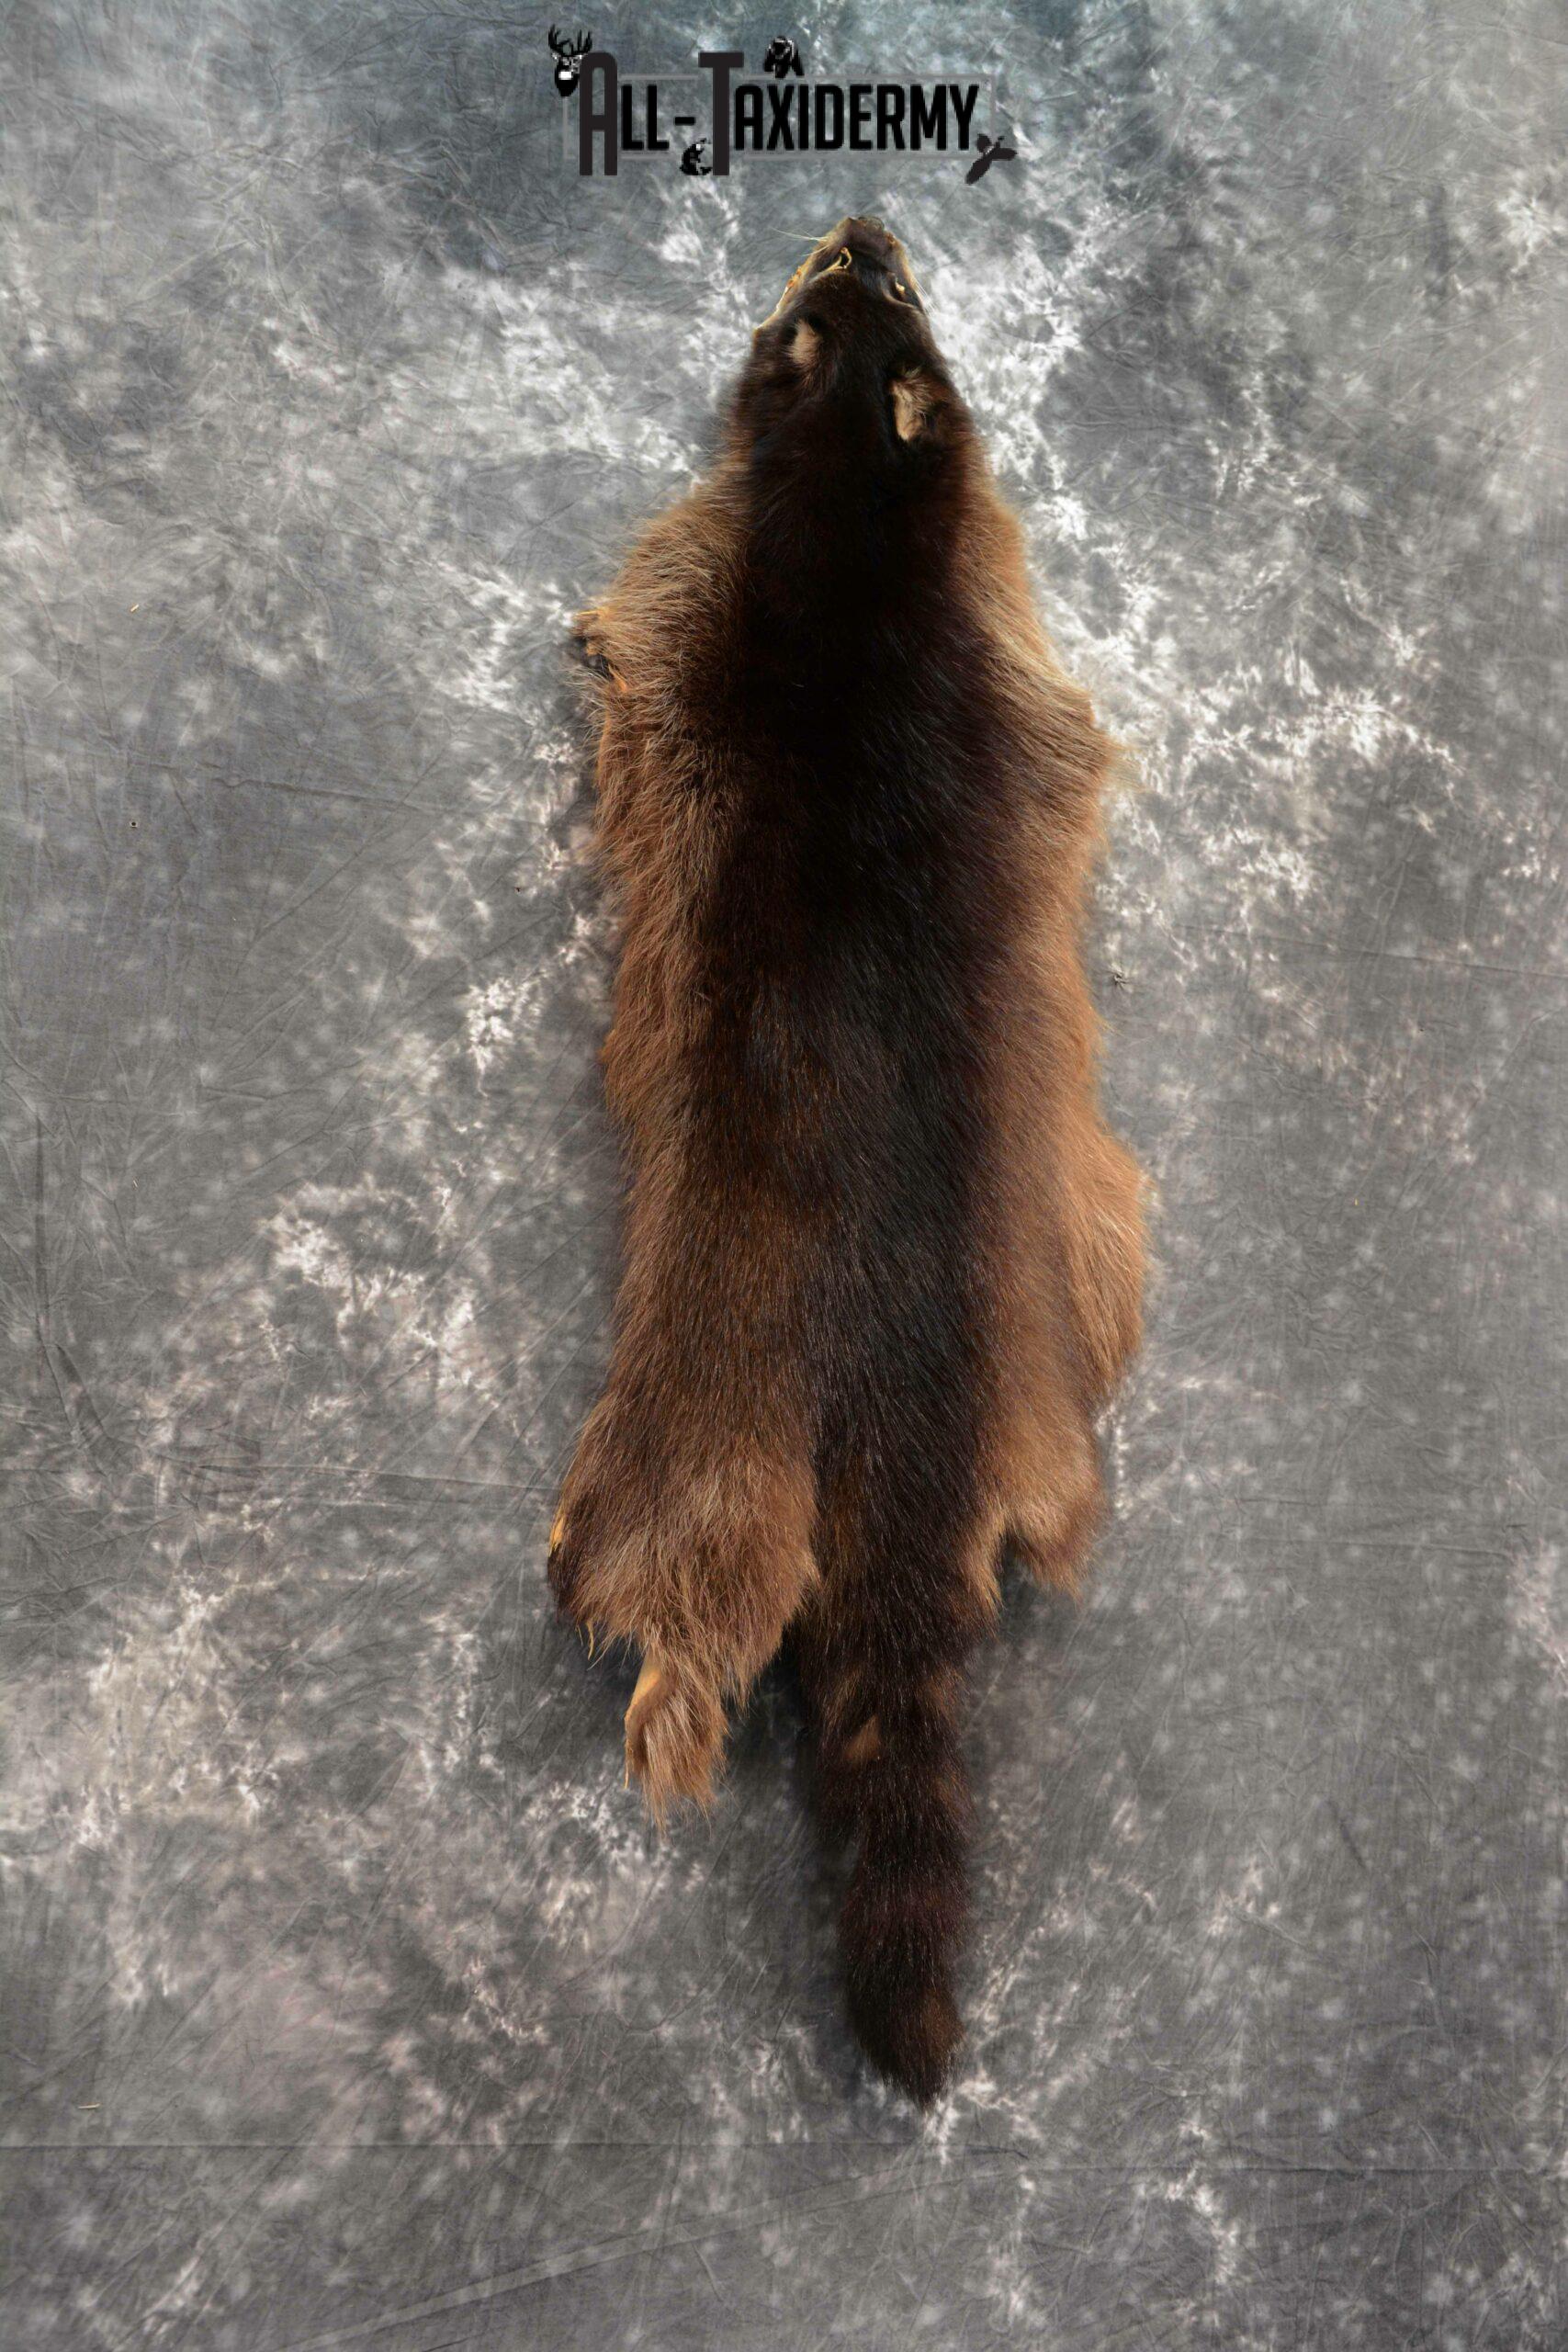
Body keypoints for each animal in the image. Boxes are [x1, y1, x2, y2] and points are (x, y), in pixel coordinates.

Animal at [550, 216, 1146, 2103]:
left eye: (834, 287)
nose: (867, 222)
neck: (861, 510)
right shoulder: (997, 633)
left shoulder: (700, 587)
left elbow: (624, 637)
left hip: (693, 1464)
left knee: (666, 1601)